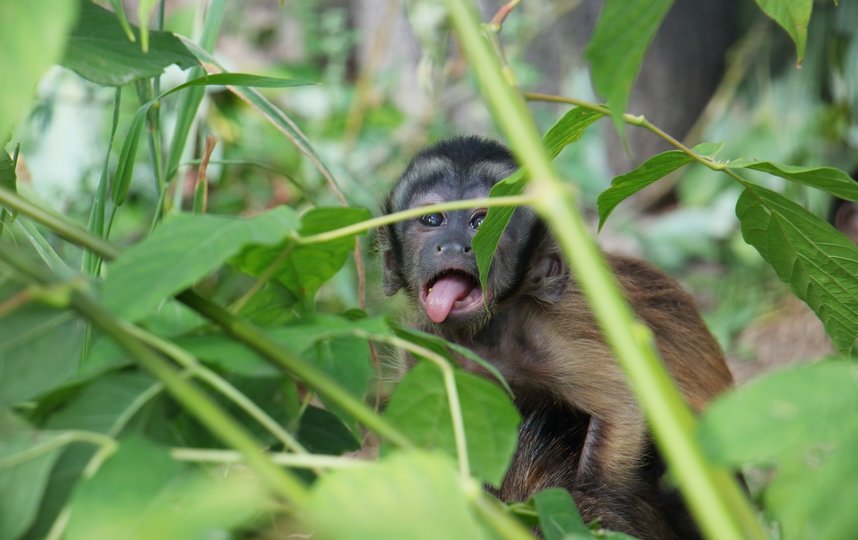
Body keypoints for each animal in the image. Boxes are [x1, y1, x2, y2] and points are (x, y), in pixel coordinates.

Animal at [382, 136, 736, 540]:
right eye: (433, 220)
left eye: (481, 222)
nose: (455, 246)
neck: (485, 335)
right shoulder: (426, 342)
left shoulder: (545, 333)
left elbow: (623, 406)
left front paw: (589, 509)